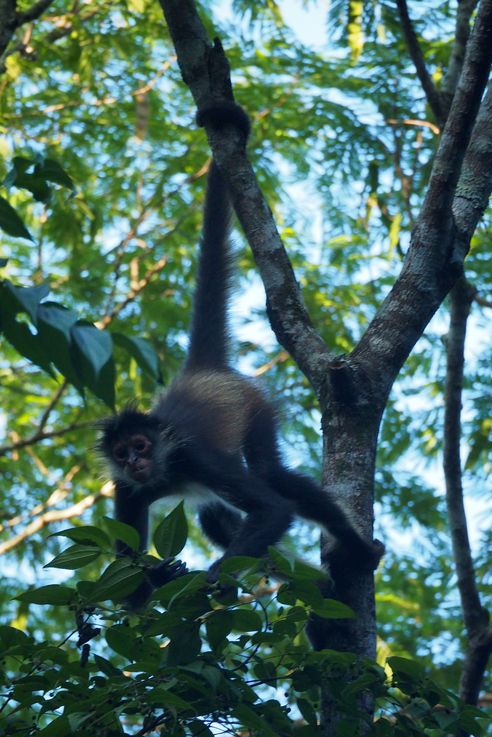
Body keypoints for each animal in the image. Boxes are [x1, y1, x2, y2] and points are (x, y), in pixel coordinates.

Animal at [99, 101, 383, 609]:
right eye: (121, 453)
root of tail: (201, 370)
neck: (164, 473)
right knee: (216, 513)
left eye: (141, 446)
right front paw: (165, 576)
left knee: (276, 477)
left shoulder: (194, 458)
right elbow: (128, 584)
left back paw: (356, 550)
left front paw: (211, 581)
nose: (133, 461)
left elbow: (275, 508)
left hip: (254, 405)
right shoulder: (127, 490)